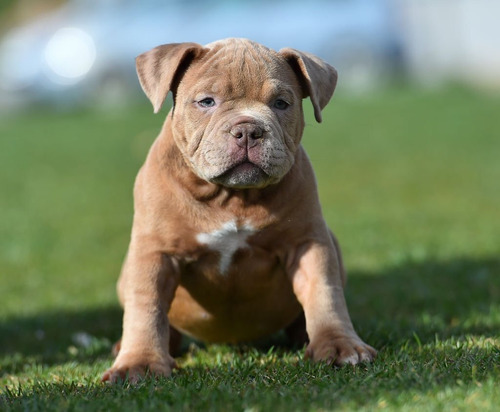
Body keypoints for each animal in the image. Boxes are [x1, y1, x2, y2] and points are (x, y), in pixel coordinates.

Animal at [101, 37, 376, 384]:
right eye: (206, 101)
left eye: (281, 103)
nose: (248, 130)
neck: (231, 197)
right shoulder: (154, 252)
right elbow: (146, 307)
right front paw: (139, 363)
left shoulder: (308, 243)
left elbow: (324, 293)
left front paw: (340, 345)